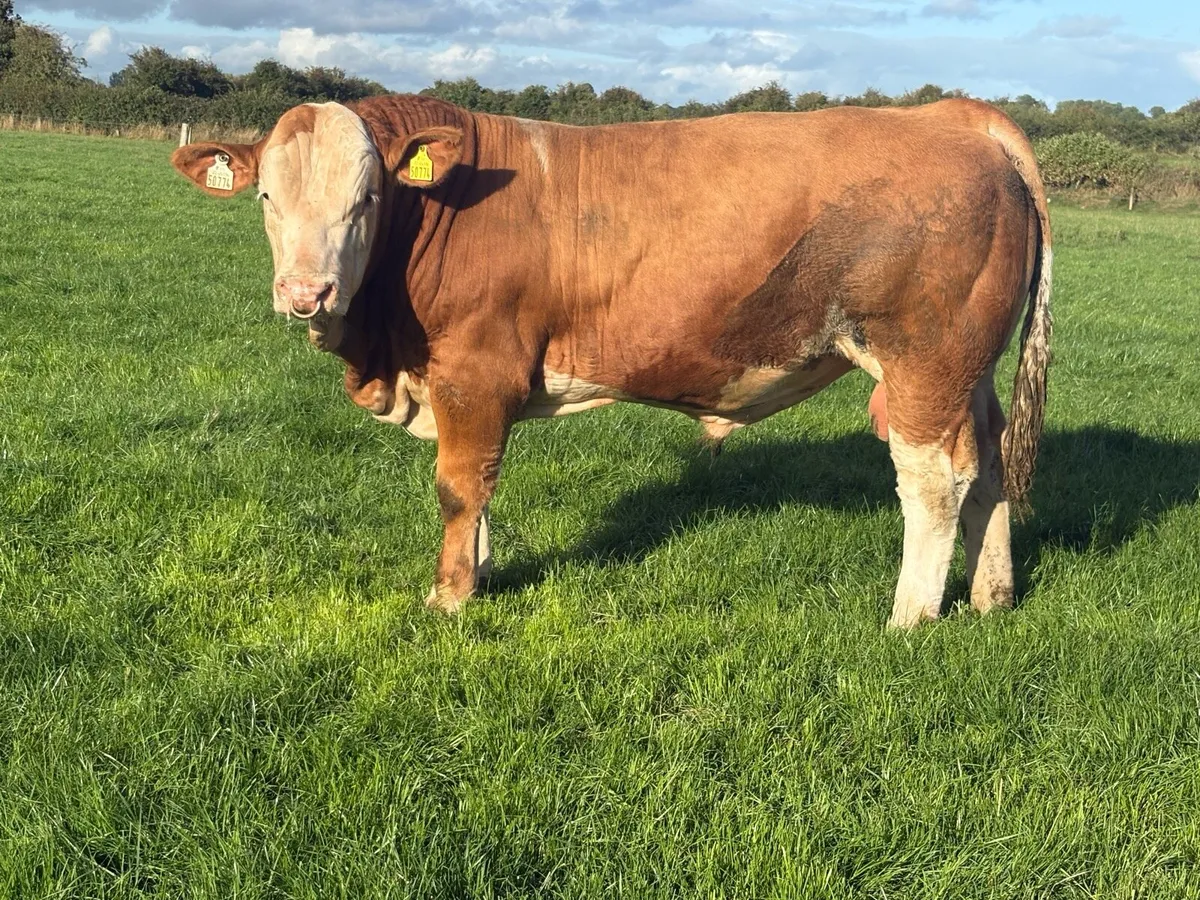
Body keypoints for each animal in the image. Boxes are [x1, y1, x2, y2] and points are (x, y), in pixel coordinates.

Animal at [170, 94, 1051, 627]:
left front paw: (450, 597)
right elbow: (481, 488)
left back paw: (909, 616)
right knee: (991, 466)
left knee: (934, 484)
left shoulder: (473, 373)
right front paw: (481, 573)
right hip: (968, 370)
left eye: (368, 198)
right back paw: (992, 595)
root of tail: (955, 116)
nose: (305, 293)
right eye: (266, 198)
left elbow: (460, 488)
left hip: (924, 363)